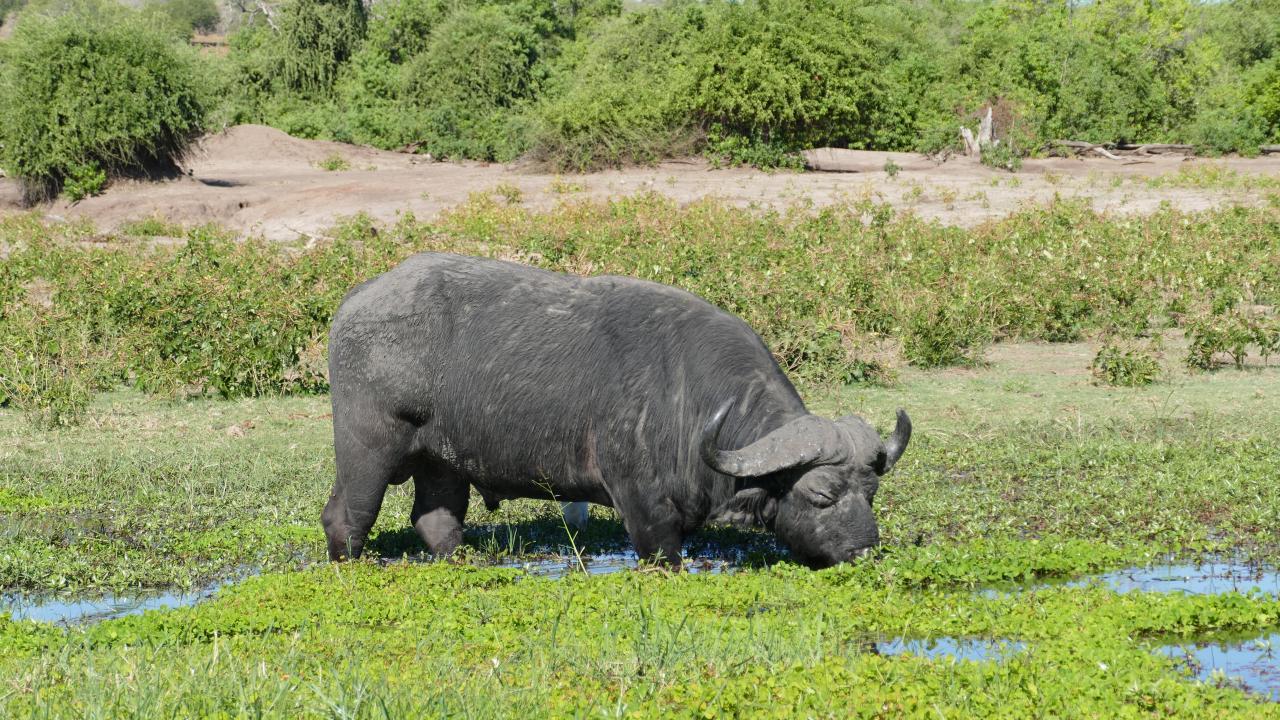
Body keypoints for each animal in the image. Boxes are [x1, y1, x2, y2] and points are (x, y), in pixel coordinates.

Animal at [322, 253, 911, 568]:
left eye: (871, 493)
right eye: (821, 494)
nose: (864, 552)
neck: (690, 398)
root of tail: (355, 301)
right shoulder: (643, 507)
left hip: (442, 461)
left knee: (436, 520)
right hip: (367, 448)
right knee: (347, 516)